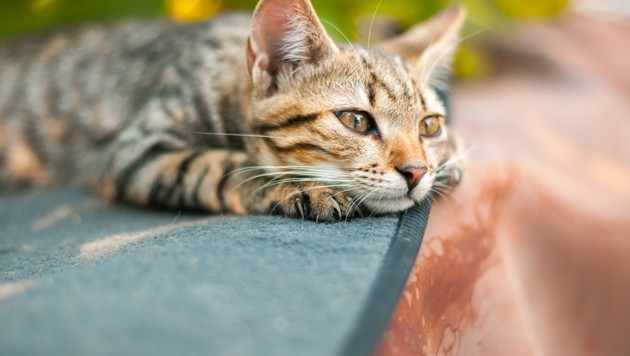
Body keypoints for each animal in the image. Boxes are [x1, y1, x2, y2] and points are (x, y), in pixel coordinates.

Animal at [0, 0, 464, 221]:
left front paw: (450, 161)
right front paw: (301, 187)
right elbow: (221, 165)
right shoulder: (135, 149)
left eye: (429, 126)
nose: (416, 171)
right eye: (356, 120)